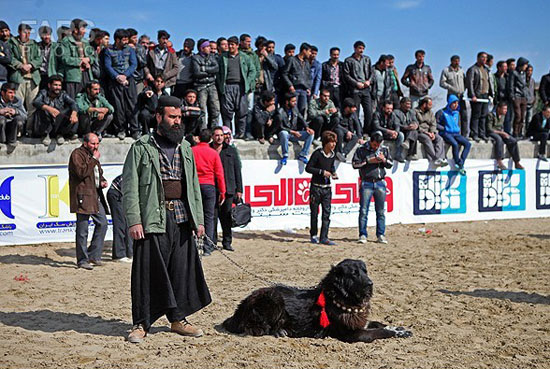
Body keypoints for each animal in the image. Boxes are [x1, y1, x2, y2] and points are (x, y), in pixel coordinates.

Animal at [222, 258, 412, 342]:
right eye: (354, 274)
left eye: (365, 271)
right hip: (272, 298)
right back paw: (280, 331)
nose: (370, 284)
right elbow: (379, 331)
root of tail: (242, 305)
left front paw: (400, 329)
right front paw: (396, 332)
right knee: (256, 328)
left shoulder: (359, 321)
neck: (340, 297)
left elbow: (379, 323)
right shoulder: (353, 334)